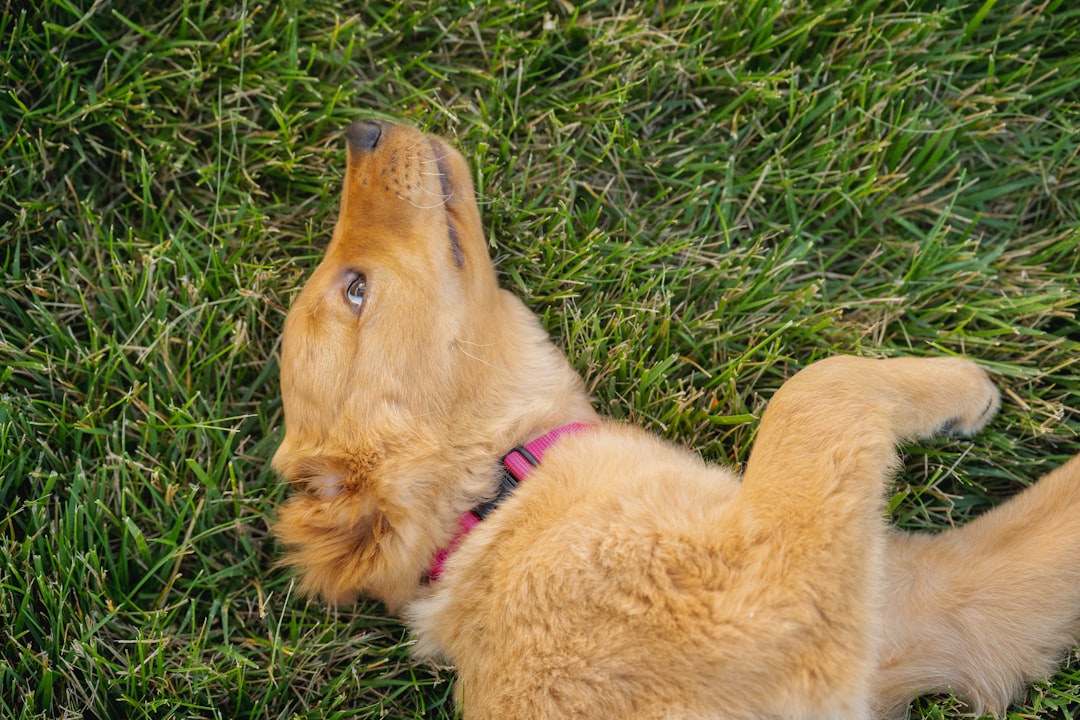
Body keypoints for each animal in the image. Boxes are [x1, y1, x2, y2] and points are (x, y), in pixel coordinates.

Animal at [272, 120, 1080, 716]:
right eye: (354, 290)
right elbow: (816, 385)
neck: (496, 500)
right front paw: (964, 388)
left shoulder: (938, 608)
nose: (362, 128)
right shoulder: (782, 597)